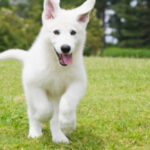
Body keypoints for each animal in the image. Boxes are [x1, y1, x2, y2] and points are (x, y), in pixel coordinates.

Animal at [0, 0, 95, 144]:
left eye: (73, 32)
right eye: (56, 32)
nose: (65, 48)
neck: (57, 66)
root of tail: (28, 56)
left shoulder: (78, 82)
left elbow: (68, 103)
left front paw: (67, 124)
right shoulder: (34, 84)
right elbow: (44, 107)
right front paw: (41, 117)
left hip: (56, 96)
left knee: (55, 116)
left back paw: (59, 136)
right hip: (30, 94)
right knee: (33, 112)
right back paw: (35, 132)